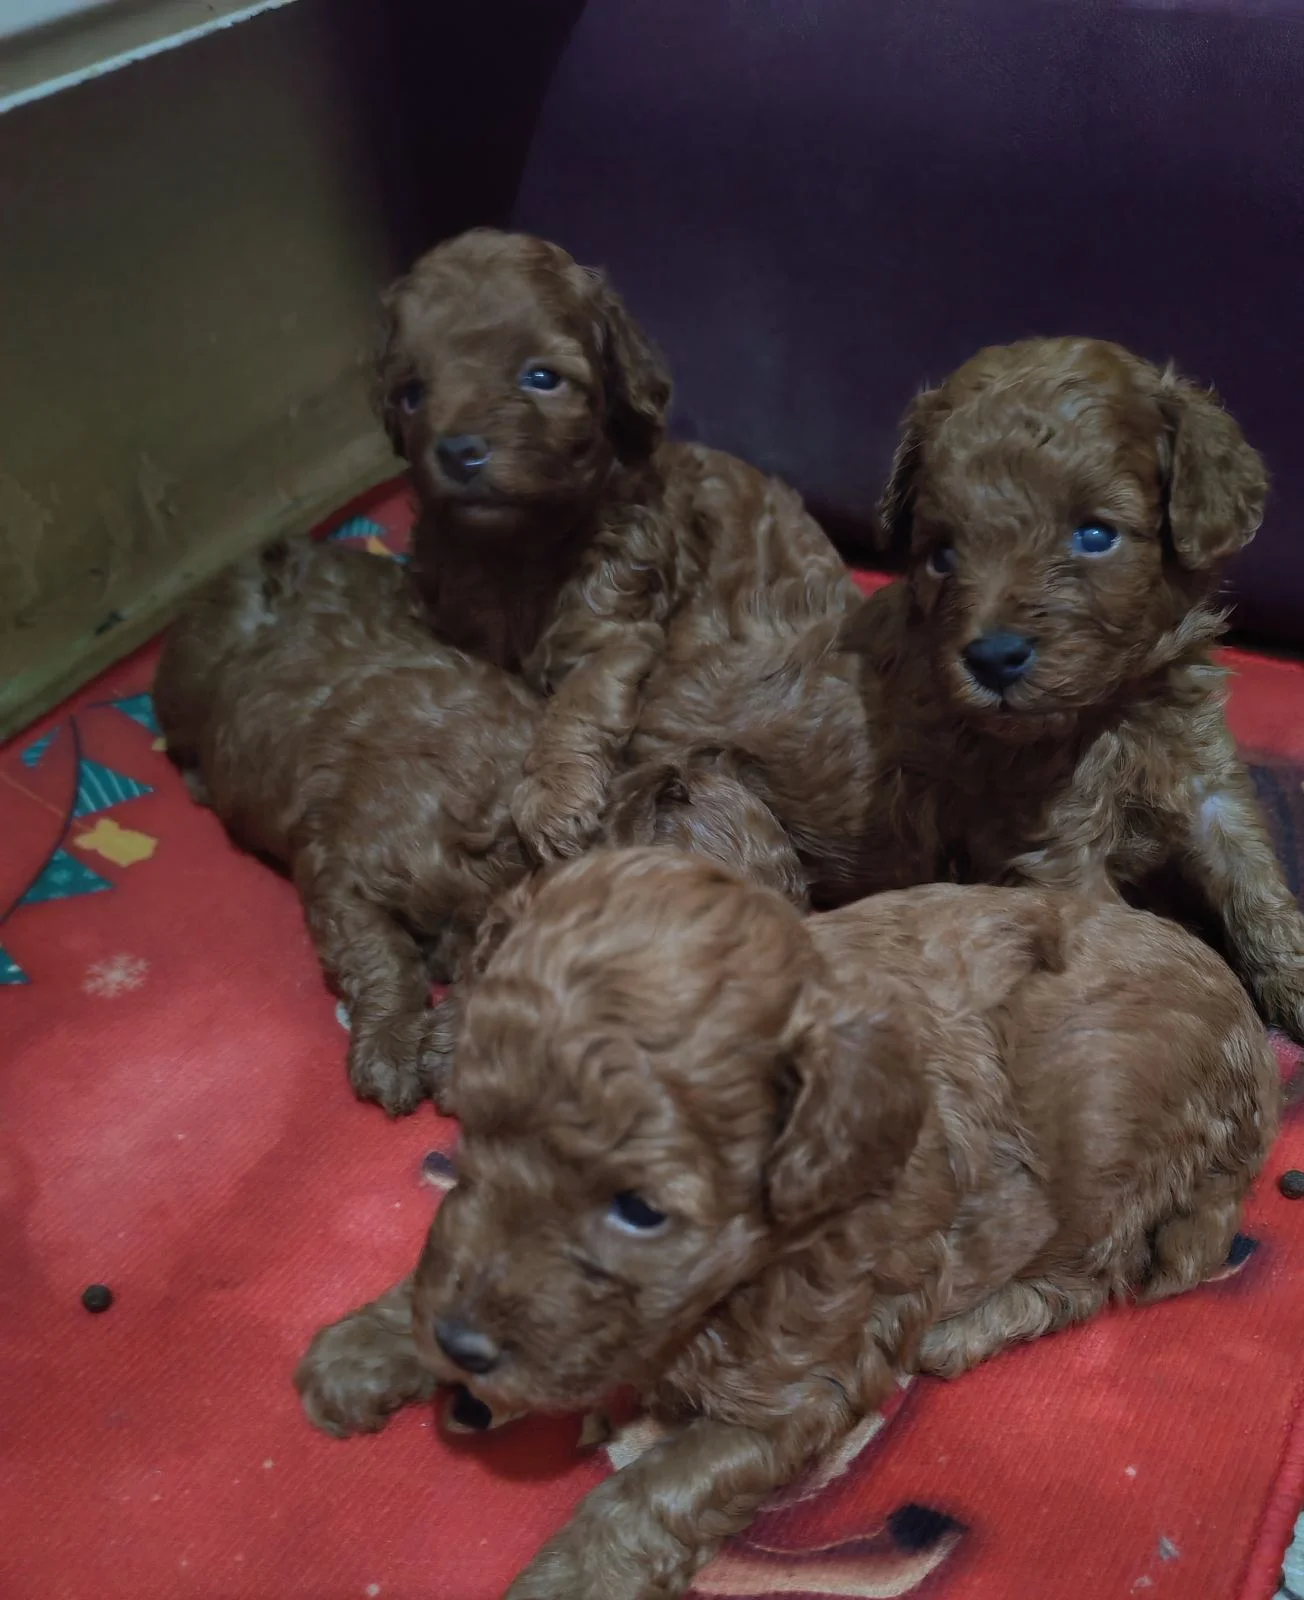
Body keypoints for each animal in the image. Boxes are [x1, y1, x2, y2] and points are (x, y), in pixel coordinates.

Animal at [294, 848, 1279, 1599]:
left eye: (641, 1210)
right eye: (469, 1129)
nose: (461, 1346)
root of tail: (1254, 1046)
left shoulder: (802, 1383)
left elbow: (657, 1489)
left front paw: (571, 1579)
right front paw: (368, 1344)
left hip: (1103, 1121)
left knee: (1098, 1273)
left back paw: (969, 1328)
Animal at [379, 228, 857, 866]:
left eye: (541, 378)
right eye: (412, 394)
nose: (459, 452)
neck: (516, 552)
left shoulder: (614, 627)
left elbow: (579, 700)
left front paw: (554, 795)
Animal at [626, 337, 1304, 1039]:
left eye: (1095, 535)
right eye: (942, 555)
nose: (993, 659)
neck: (1116, 708)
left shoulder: (1204, 778)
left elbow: (1252, 879)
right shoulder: (1056, 848)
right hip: (725, 814)